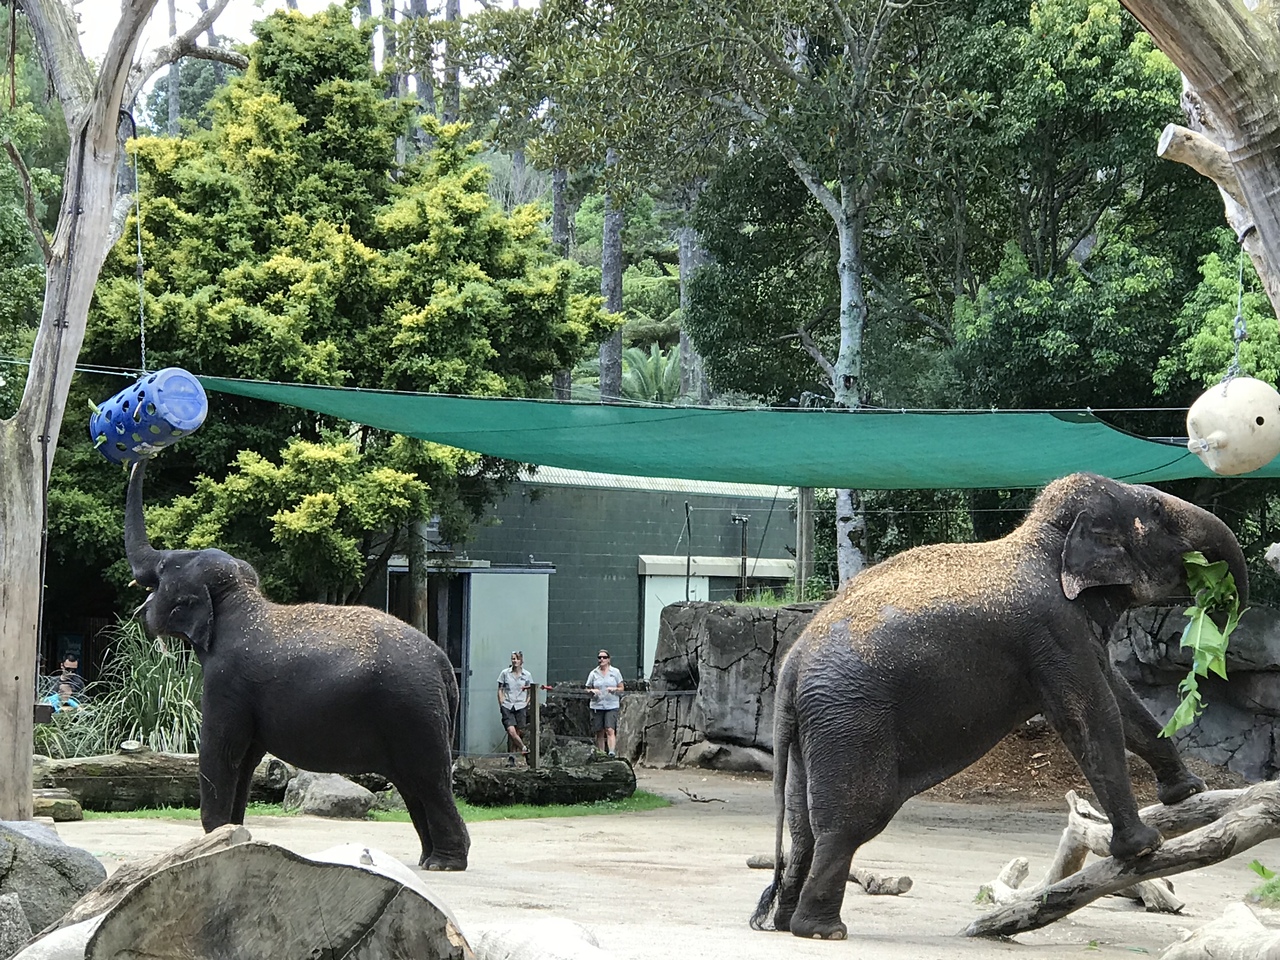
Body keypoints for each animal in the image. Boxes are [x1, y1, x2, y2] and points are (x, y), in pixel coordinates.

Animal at [123, 460, 469, 871]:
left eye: (163, 568)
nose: (145, 454)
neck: (239, 599)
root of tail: (443, 664)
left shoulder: (226, 679)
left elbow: (221, 750)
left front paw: (213, 842)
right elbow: (246, 760)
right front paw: (233, 836)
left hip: (413, 709)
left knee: (430, 781)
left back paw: (443, 864)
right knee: (414, 785)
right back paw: (427, 859)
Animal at [751, 473, 1248, 940]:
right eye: (1158, 512)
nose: (1224, 600)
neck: (1044, 538)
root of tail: (791, 666)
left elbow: (1122, 697)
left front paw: (1189, 791)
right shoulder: (1054, 630)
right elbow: (1094, 713)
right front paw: (1145, 845)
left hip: (817, 727)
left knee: (802, 827)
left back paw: (785, 922)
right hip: (852, 720)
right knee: (851, 822)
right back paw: (822, 930)